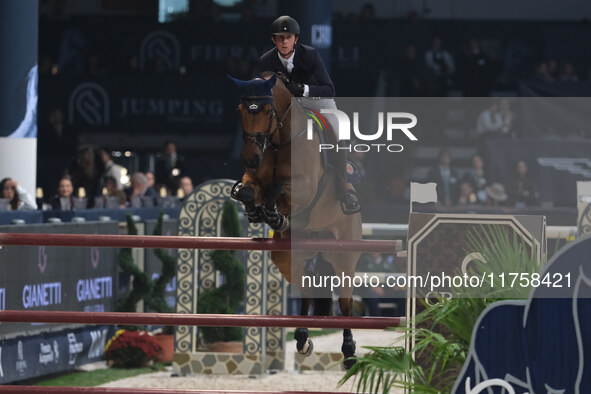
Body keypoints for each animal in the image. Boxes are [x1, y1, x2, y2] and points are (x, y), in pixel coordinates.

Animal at [232, 71, 366, 370]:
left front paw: (274, 215)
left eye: (267, 111)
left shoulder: (303, 188)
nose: (250, 158)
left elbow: (276, 190)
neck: (280, 140)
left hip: (344, 257)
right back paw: (303, 336)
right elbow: (247, 191)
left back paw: (349, 351)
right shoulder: (253, 179)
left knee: (345, 303)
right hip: (288, 258)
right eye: (241, 110)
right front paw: (258, 213)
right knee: (307, 288)